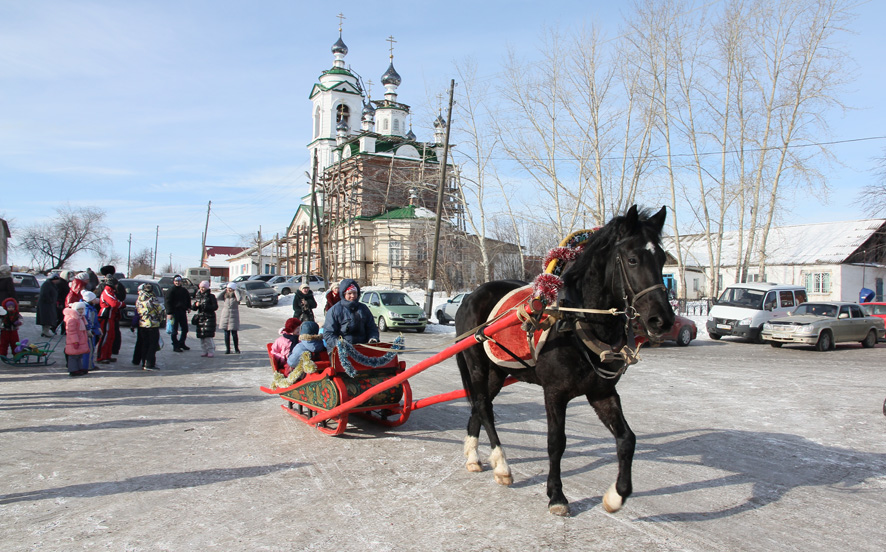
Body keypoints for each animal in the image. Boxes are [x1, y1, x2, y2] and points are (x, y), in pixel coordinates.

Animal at [454, 205, 676, 516]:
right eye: (632, 259)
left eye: (662, 258)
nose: (663, 320)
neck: (577, 321)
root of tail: (470, 295)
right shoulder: (555, 393)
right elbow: (556, 443)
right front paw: (557, 496)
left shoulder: (602, 392)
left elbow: (627, 439)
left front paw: (616, 495)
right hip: (476, 364)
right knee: (484, 407)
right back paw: (502, 465)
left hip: (497, 371)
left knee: (478, 404)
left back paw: (474, 456)